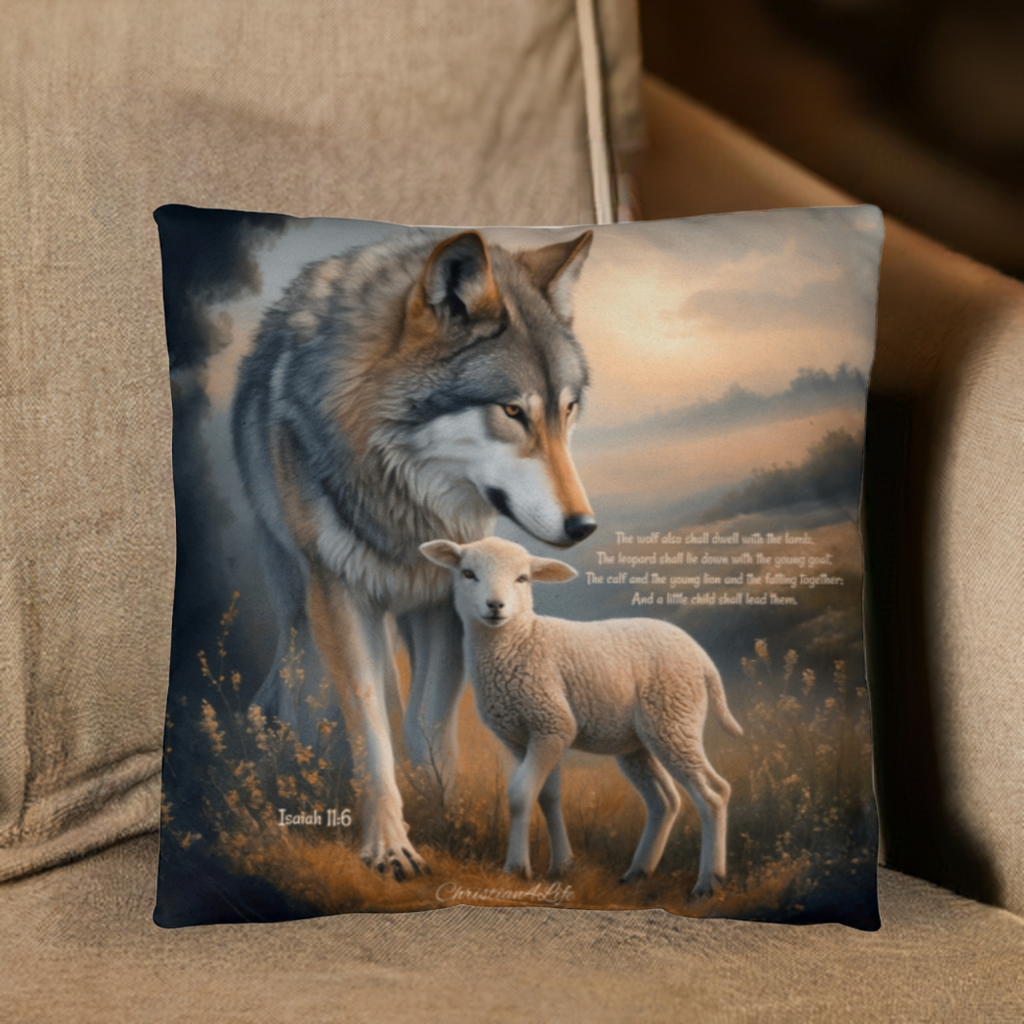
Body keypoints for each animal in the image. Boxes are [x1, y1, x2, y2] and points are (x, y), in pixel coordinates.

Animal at [231, 227, 596, 879]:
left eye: (567, 409)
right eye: (512, 411)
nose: (585, 526)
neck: (405, 501)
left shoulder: (443, 604)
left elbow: (428, 724)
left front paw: (447, 817)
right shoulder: (340, 595)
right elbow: (369, 720)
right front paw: (389, 845)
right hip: (302, 607)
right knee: (310, 683)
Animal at [420, 535, 744, 898]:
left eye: (523, 578)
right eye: (468, 573)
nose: (495, 606)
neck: (520, 640)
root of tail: (704, 661)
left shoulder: (552, 723)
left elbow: (519, 794)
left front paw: (516, 868)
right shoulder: (522, 736)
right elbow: (547, 795)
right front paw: (563, 865)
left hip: (673, 718)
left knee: (713, 793)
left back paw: (708, 883)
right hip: (639, 742)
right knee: (665, 800)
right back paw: (638, 872)